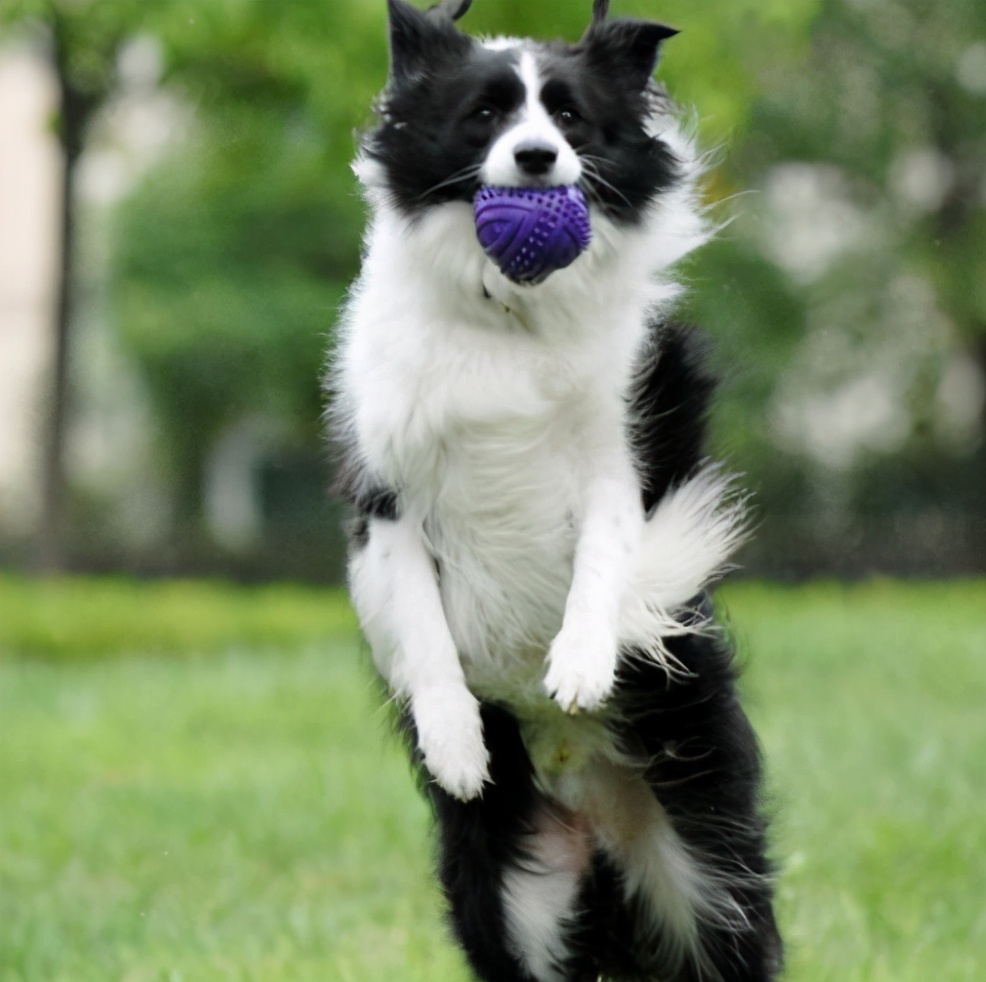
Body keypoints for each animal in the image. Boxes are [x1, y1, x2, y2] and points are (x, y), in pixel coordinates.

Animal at [328, 1, 776, 982]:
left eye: (570, 118)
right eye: (485, 115)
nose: (538, 160)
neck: (510, 313)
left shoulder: (625, 459)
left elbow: (607, 561)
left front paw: (577, 664)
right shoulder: (385, 499)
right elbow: (420, 621)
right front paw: (455, 743)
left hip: (708, 875)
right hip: (511, 897)